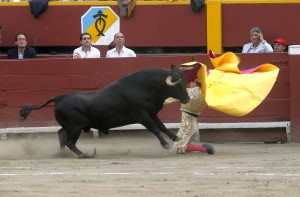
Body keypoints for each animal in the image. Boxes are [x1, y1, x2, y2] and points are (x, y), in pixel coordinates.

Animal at [19, 65, 190, 158]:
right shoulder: (141, 115)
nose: (187, 99)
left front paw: (176, 137)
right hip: (75, 127)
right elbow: (154, 128)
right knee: (69, 141)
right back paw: (84, 154)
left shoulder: (152, 113)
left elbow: (161, 126)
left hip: (71, 126)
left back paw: (62, 153)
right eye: (177, 85)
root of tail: (59, 98)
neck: (146, 87)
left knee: (61, 134)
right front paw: (165, 144)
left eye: (184, 80)